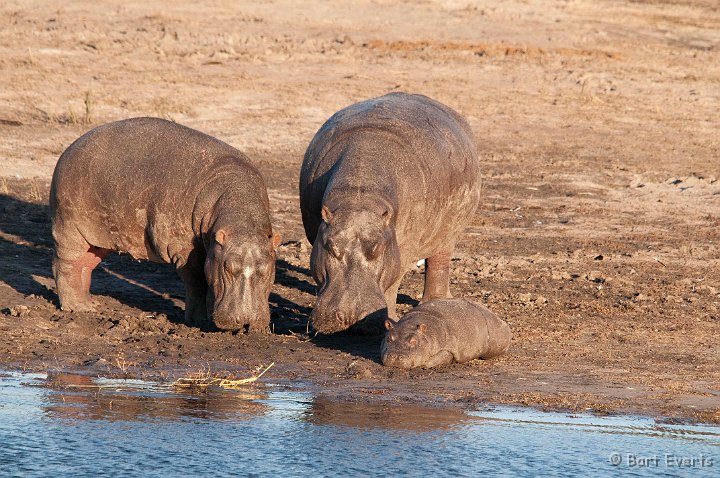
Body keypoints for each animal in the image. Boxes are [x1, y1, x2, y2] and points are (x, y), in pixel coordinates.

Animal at [49, 116, 280, 332]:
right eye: (228, 268)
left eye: (268, 268)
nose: (246, 319)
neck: (241, 217)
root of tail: (70, 147)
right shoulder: (184, 248)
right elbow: (197, 280)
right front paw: (200, 321)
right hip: (70, 227)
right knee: (65, 264)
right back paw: (76, 308)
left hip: (96, 237)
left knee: (85, 264)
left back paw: (91, 305)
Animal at [300, 92, 480, 332]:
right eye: (331, 246)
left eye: (377, 248)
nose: (351, 317)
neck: (359, 195)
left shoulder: (402, 248)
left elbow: (392, 283)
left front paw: (391, 321)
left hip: (449, 232)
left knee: (439, 262)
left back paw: (437, 301)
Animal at [382, 298, 512, 370]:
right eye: (389, 338)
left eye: (414, 341)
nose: (395, 356)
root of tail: (500, 319)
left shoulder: (449, 346)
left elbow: (441, 356)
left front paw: (424, 365)